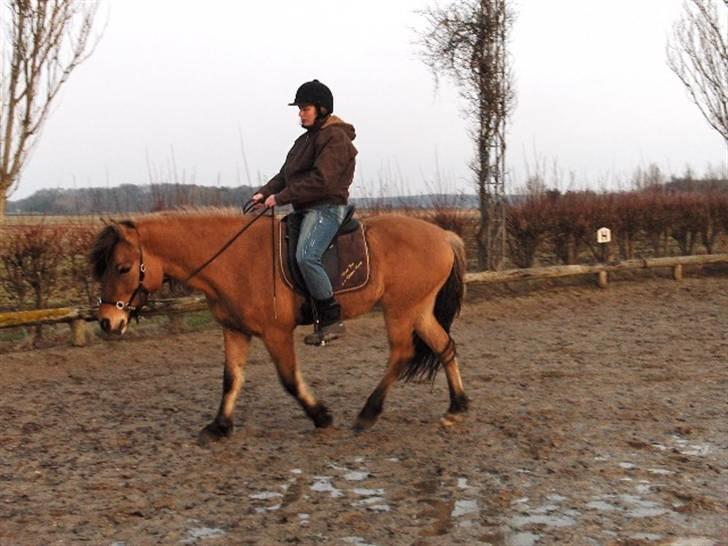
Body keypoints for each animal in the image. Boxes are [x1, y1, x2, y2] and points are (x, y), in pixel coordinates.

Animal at [91, 206, 470, 440]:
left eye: (123, 267)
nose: (107, 321)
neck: (234, 259)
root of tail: (443, 236)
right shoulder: (235, 330)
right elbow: (231, 379)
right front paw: (219, 426)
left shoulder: (276, 333)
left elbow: (288, 379)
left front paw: (321, 416)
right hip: (419, 309)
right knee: (445, 347)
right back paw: (456, 408)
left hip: (400, 310)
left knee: (402, 354)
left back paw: (368, 413)